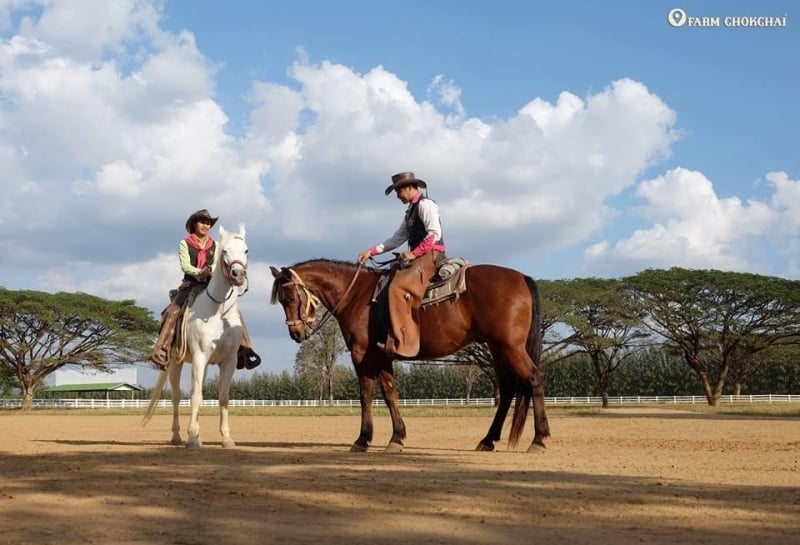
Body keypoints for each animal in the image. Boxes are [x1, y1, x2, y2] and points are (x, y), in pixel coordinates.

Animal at [145, 224, 250, 446]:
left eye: (246, 250)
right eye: (224, 251)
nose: (238, 274)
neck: (218, 311)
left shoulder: (229, 360)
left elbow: (223, 397)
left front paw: (226, 438)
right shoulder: (200, 357)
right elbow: (195, 397)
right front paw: (192, 438)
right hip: (175, 363)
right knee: (177, 397)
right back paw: (178, 436)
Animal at [268, 260, 552, 450]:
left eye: (290, 297)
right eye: (281, 301)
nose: (296, 333)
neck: (358, 295)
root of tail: (521, 277)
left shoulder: (362, 356)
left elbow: (366, 395)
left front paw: (363, 439)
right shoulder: (382, 357)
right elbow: (390, 393)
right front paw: (397, 437)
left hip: (511, 348)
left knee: (534, 380)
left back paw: (539, 438)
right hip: (497, 349)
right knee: (507, 390)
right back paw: (488, 440)